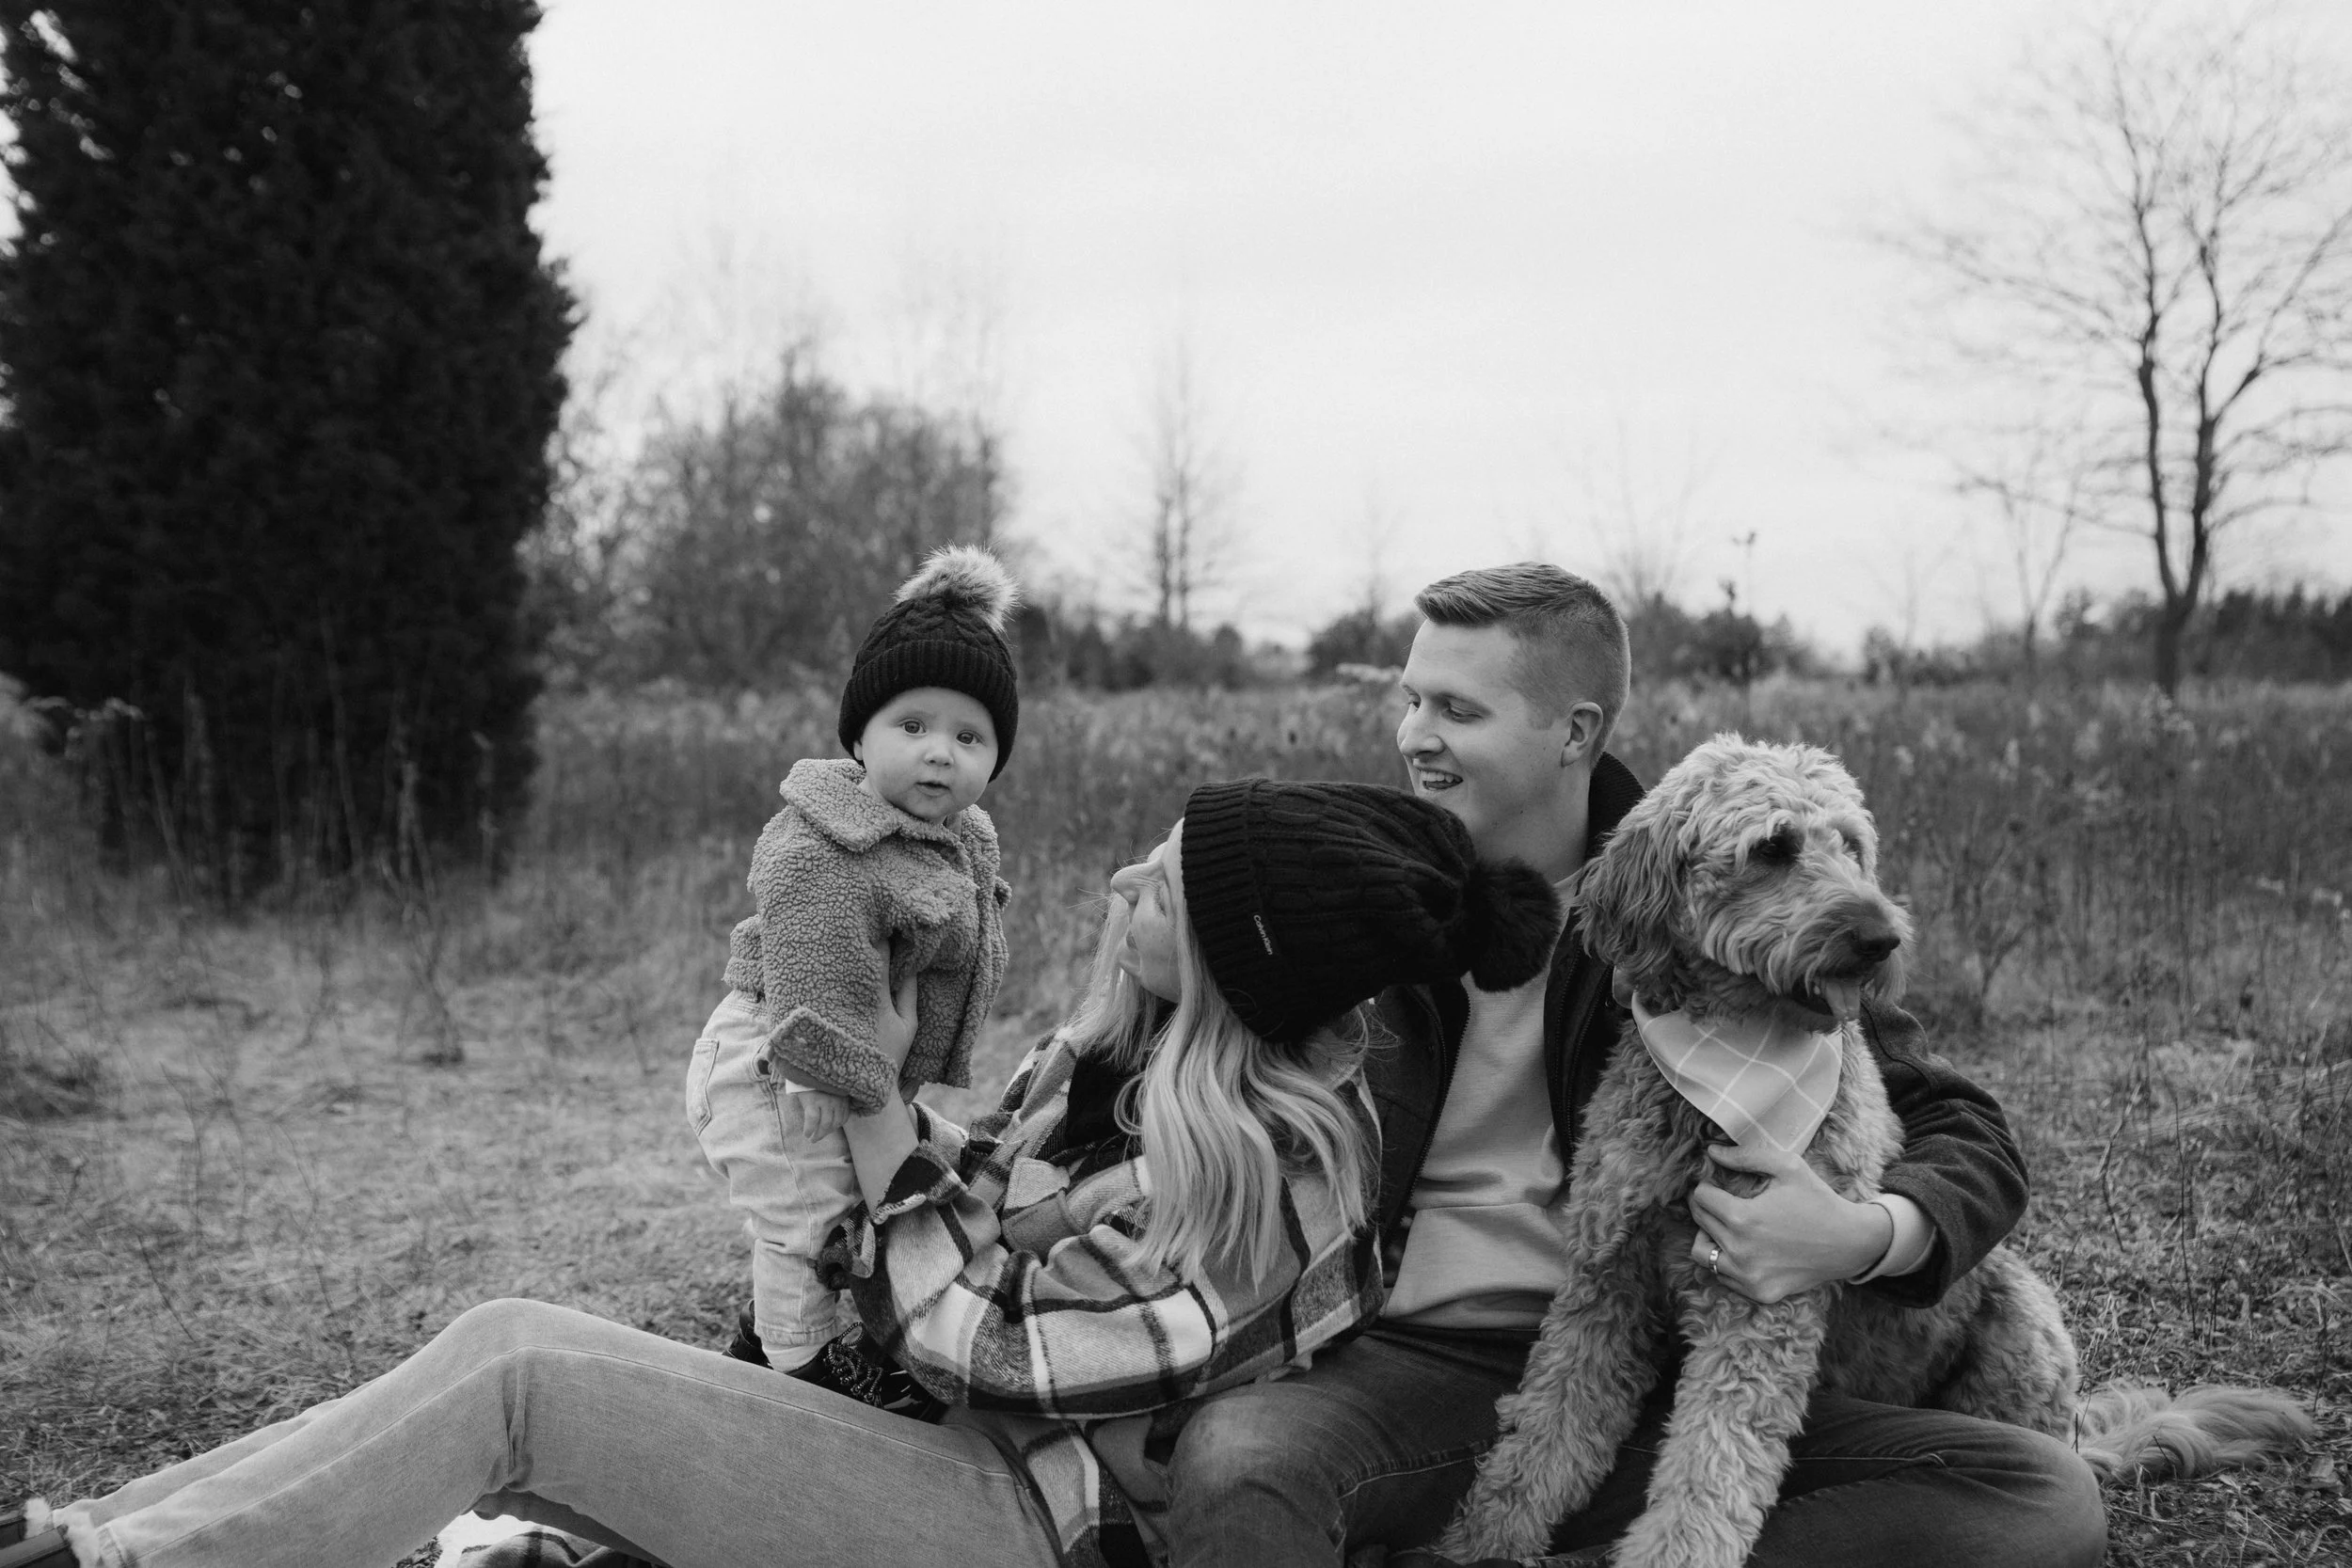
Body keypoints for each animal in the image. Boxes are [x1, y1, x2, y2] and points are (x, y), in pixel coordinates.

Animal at [1437, 734, 2312, 1568]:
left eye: (1852, 844)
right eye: (1773, 847)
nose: (1881, 937)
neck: (1722, 1080)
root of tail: (2076, 1430)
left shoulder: (1759, 1306)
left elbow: (1708, 1473)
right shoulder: (1605, 1281)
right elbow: (1540, 1438)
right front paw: (1484, 1541)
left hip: (2019, 1317)